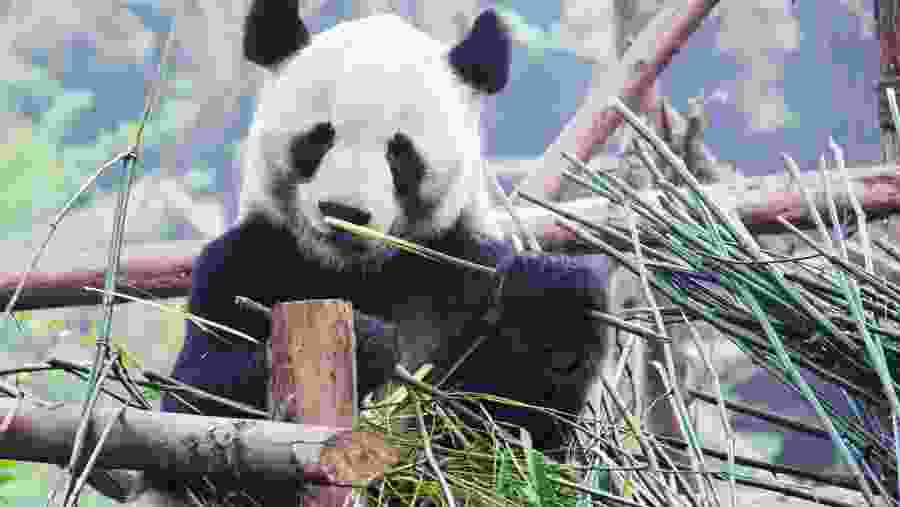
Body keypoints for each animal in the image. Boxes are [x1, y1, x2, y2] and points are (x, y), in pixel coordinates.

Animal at [112, 1, 610, 504]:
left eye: (400, 152)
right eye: (319, 137)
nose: (343, 211)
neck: (356, 271)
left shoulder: (460, 266)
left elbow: (511, 441)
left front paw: (553, 294)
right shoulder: (242, 262)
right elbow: (190, 403)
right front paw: (367, 341)